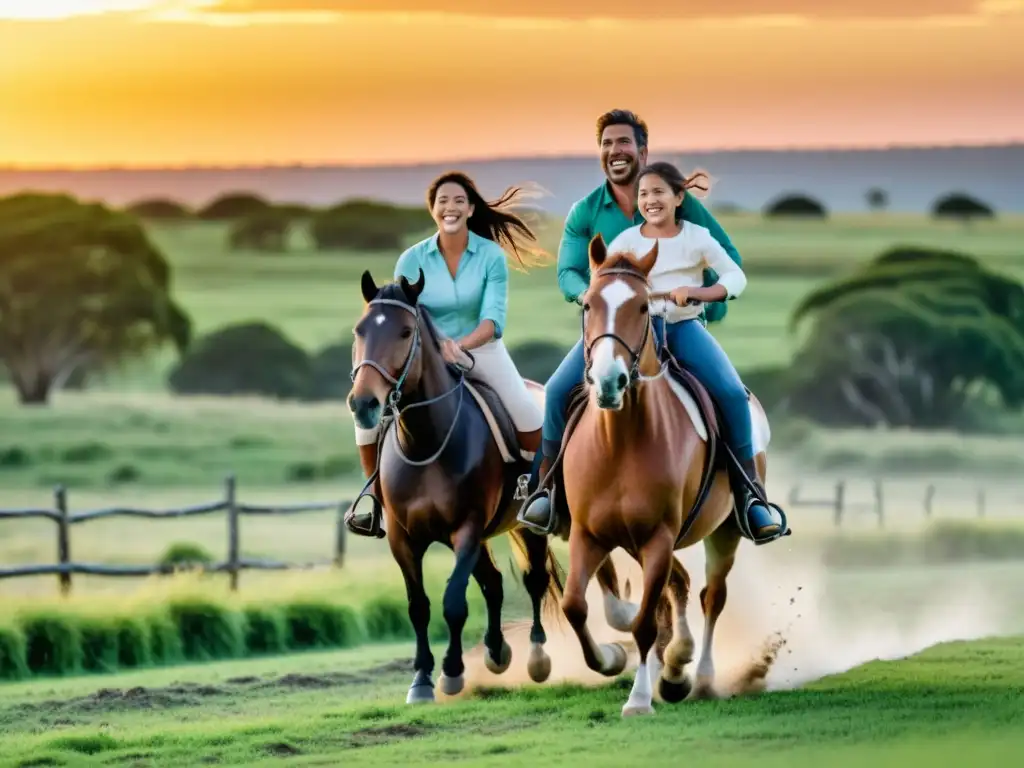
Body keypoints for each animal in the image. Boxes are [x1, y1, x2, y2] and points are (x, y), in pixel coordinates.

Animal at [348, 268, 634, 704]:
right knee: (494, 583)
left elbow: (453, 601)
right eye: (360, 329)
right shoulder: (403, 538)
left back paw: (537, 657)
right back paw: (498, 652)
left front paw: (451, 672)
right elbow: (419, 606)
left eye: (404, 332)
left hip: (527, 525)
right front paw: (421, 680)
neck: (426, 443)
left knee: (533, 580)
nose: (363, 403)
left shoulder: (466, 529)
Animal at [557, 237, 770, 720]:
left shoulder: (658, 537)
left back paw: (699, 677)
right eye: (588, 304)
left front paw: (639, 699)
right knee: (679, 589)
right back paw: (673, 671)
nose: (609, 381)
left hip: (724, 532)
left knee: (711, 595)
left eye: (642, 306)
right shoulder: (588, 534)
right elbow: (576, 606)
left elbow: (644, 624)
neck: (620, 443)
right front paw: (609, 660)